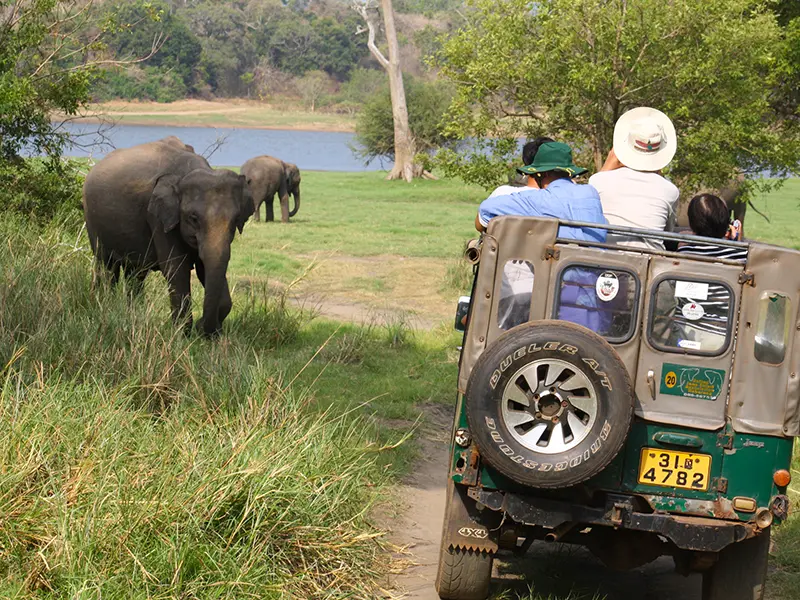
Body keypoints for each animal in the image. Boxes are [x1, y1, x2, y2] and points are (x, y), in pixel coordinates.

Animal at [82, 137, 254, 336]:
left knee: (135, 273)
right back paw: (104, 307)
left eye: (235, 220)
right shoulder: (158, 217)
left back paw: (132, 314)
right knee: (107, 266)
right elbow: (176, 268)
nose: (201, 326)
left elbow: (204, 267)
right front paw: (182, 335)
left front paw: (210, 334)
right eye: (193, 218)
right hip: (92, 220)